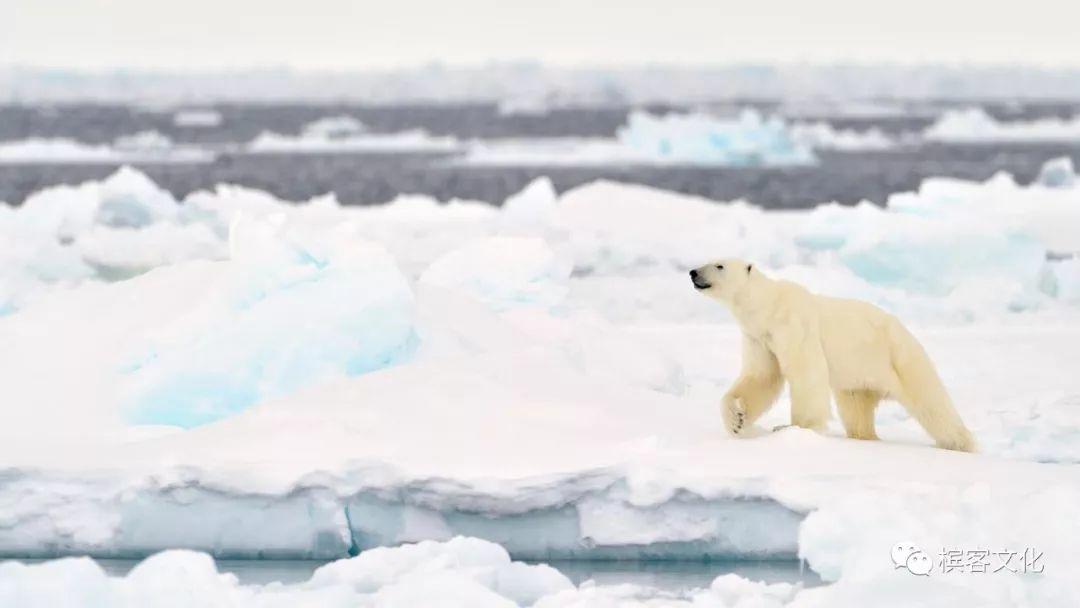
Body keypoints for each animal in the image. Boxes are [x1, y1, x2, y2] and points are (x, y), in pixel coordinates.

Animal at [691, 258, 980, 451]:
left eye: (719, 265)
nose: (693, 272)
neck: (768, 307)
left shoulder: (794, 325)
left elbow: (806, 373)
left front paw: (795, 427)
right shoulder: (759, 338)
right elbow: (761, 377)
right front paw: (737, 420)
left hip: (899, 356)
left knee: (932, 402)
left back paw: (962, 443)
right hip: (859, 376)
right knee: (856, 410)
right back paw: (865, 436)